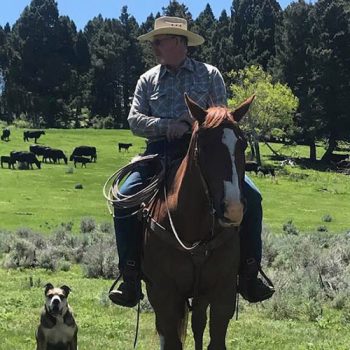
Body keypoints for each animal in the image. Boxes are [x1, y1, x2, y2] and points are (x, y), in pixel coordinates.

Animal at [142, 94, 254, 348]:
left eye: (242, 144)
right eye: (204, 146)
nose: (233, 209)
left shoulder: (222, 293)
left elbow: (215, 340)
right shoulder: (164, 295)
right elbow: (171, 340)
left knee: (198, 325)